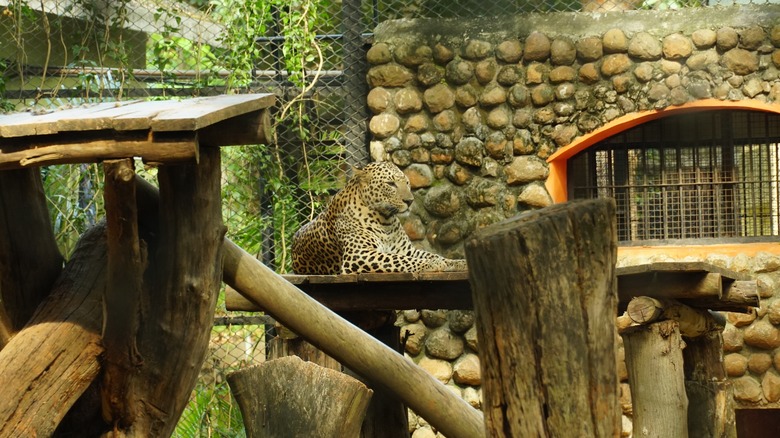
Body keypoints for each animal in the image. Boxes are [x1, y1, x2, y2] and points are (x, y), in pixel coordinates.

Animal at [290, 161, 464, 276]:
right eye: (390, 184)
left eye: (407, 183)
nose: (409, 200)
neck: (385, 221)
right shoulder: (359, 254)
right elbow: (399, 260)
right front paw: (433, 263)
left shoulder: (407, 250)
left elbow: (430, 255)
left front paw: (457, 263)